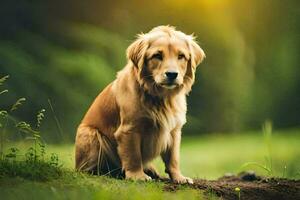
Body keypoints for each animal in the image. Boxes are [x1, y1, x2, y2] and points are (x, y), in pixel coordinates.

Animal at [74, 25, 204, 184]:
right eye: (157, 55)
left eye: (181, 56)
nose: (172, 74)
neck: (160, 97)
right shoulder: (129, 129)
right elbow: (133, 156)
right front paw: (137, 176)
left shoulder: (174, 130)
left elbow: (173, 158)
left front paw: (178, 177)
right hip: (90, 134)